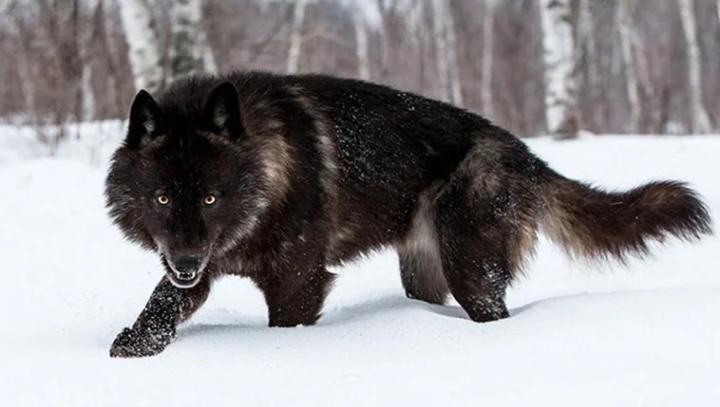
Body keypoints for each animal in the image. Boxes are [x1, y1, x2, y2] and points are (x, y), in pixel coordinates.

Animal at [106, 72, 711, 357]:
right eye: (163, 199)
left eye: (211, 198)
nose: (186, 261)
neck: (268, 169)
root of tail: (524, 153)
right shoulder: (196, 269)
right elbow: (161, 305)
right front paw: (133, 348)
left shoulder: (298, 283)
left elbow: (285, 326)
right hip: (424, 275)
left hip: (471, 272)